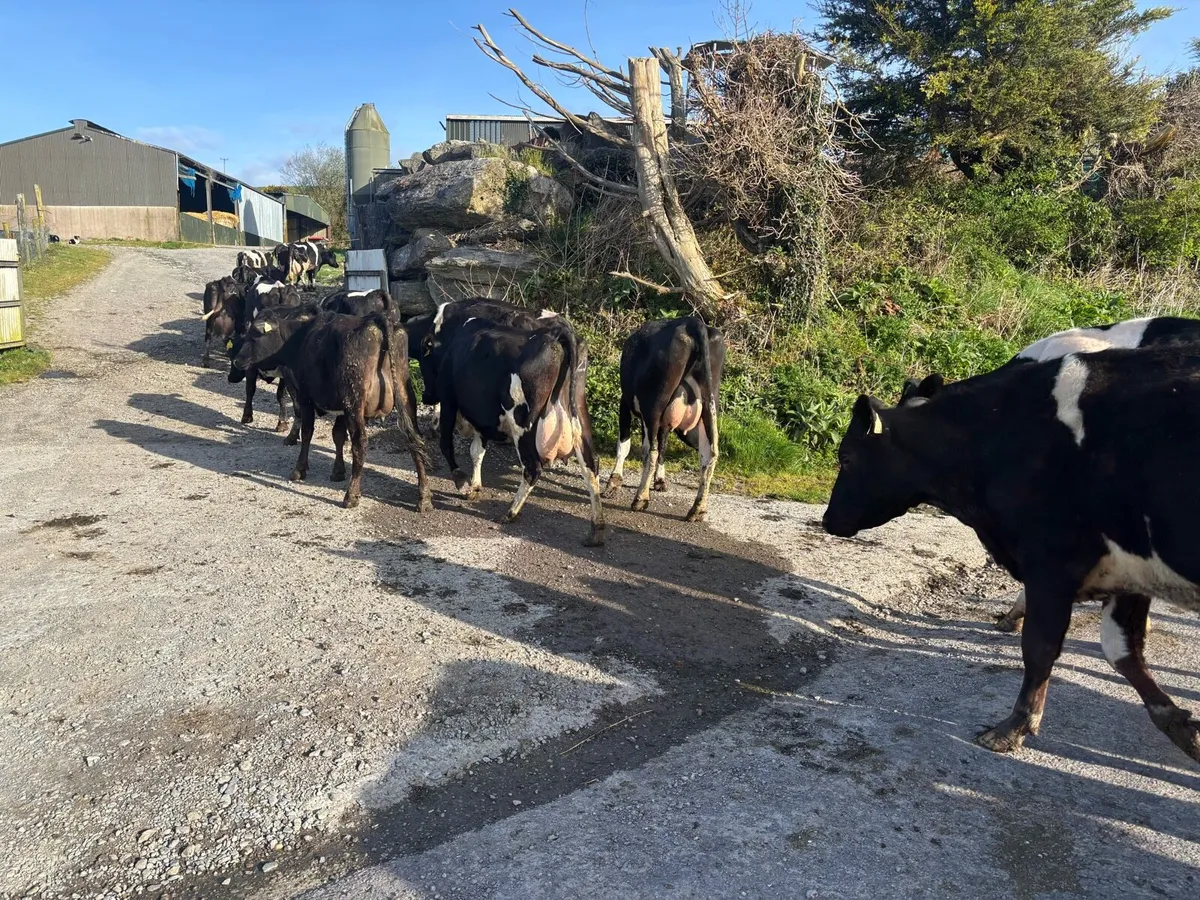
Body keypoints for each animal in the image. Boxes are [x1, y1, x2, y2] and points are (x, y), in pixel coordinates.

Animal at [233, 307, 431, 512]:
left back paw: (351, 495)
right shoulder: (341, 408)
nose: (237, 360)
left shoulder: (305, 397)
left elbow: (307, 432)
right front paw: (338, 470)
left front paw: (299, 469)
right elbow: (338, 436)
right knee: (415, 440)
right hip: (405, 398)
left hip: (355, 402)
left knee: (360, 444)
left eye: (254, 335)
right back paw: (424, 497)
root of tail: (376, 319)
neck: (299, 338)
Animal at [434, 316, 605, 545]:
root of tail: (555, 334)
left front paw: (462, 483)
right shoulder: (483, 419)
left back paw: (510, 512)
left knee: (532, 467)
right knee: (590, 464)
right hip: (578, 410)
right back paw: (596, 529)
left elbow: (446, 444)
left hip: (522, 421)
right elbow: (477, 452)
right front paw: (475, 486)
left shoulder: (448, 399)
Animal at [603, 317, 724, 522]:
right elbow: (662, 446)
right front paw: (659, 480)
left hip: (654, 405)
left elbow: (626, 445)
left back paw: (640, 499)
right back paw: (697, 510)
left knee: (652, 450)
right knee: (710, 454)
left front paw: (614, 482)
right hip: (709, 403)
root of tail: (692, 322)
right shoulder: (665, 422)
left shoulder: (625, 402)